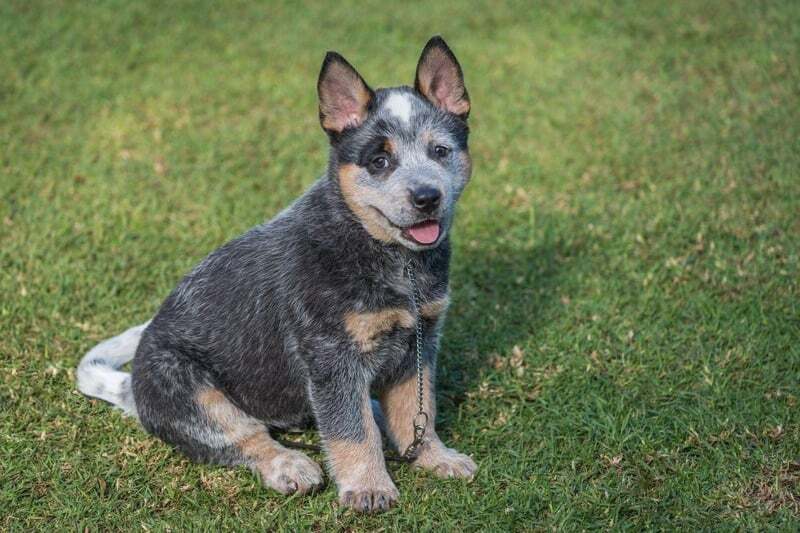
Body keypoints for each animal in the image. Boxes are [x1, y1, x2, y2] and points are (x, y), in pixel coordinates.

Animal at [76, 36, 476, 512]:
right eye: (379, 161)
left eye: (440, 151)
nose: (427, 197)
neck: (393, 260)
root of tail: (132, 390)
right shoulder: (331, 357)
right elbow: (351, 431)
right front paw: (368, 488)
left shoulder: (420, 340)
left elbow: (419, 410)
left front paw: (436, 457)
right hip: (190, 387)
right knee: (245, 435)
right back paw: (290, 465)